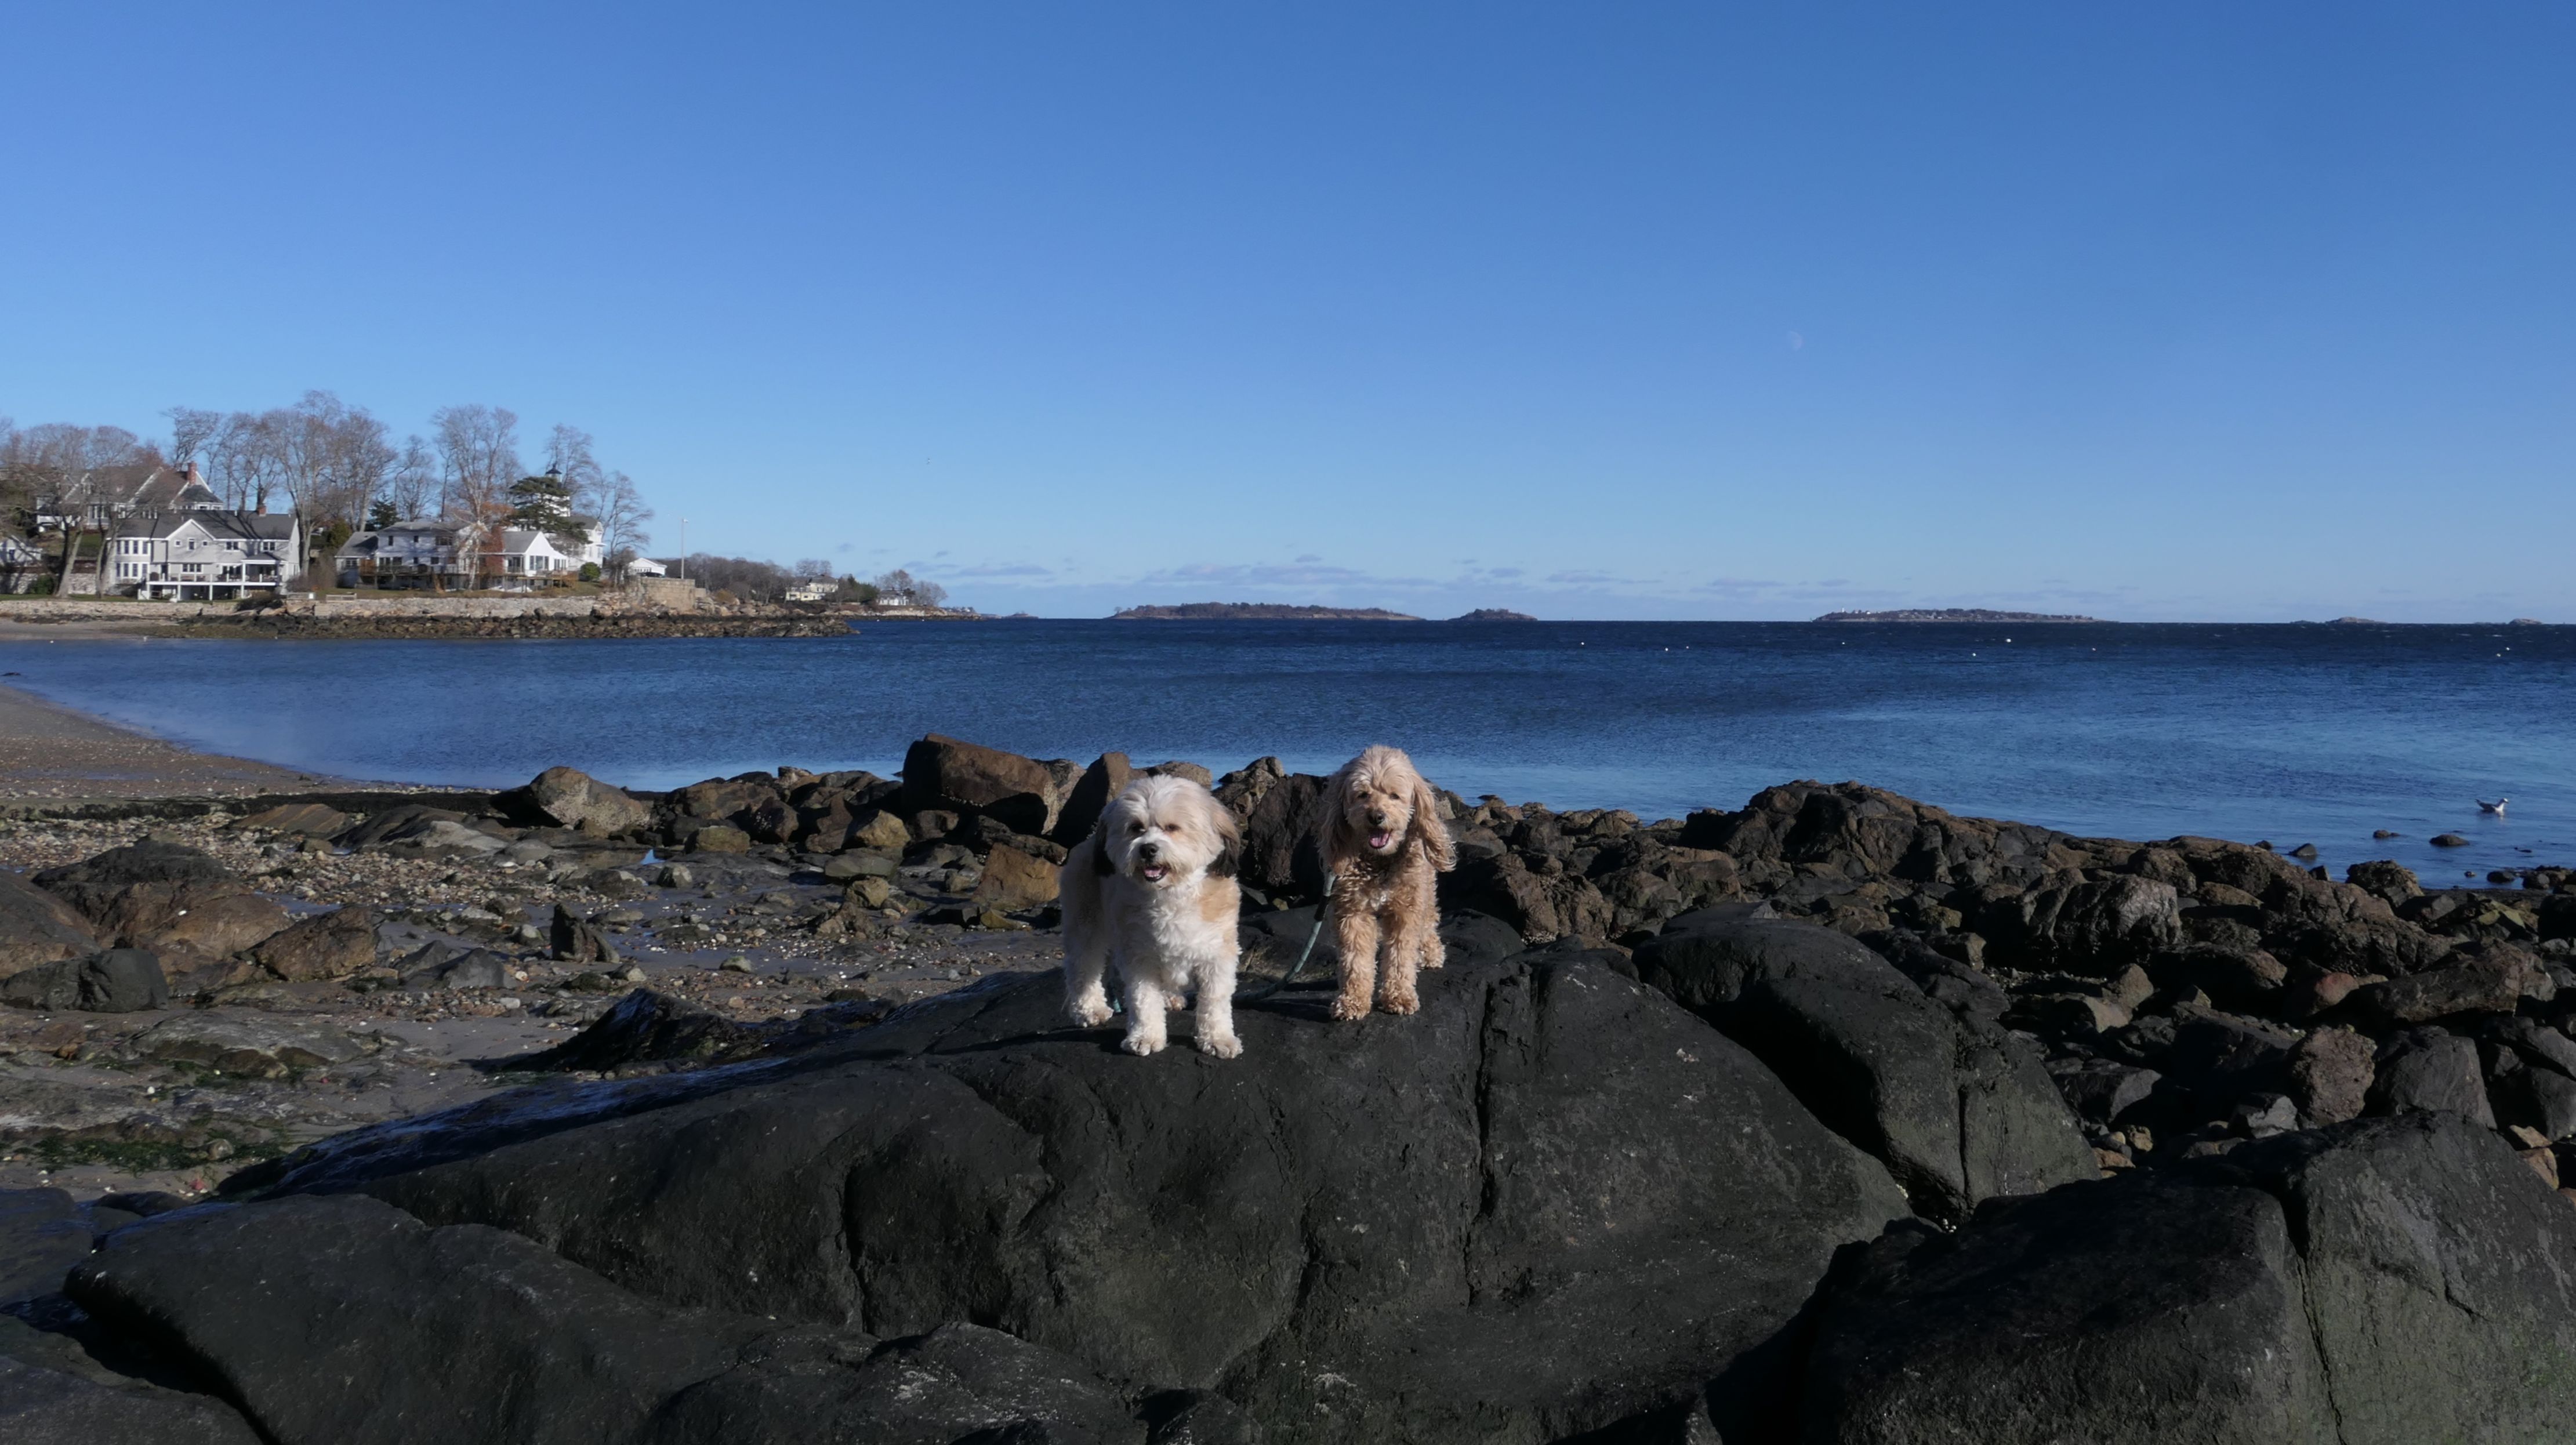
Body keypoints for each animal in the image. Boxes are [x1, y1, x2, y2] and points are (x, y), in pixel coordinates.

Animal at [1060, 773, 1245, 1057]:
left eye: (1172, 828)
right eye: (1136, 828)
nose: (1147, 849)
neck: (1171, 894)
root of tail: (1091, 840)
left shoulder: (1218, 955)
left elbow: (1215, 1000)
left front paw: (1218, 1038)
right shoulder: (1139, 956)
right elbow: (1143, 999)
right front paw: (1145, 1036)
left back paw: (1169, 996)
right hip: (1085, 921)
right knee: (1083, 965)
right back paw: (1089, 1009)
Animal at [1318, 745, 1456, 1020]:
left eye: (1394, 796)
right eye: (1362, 795)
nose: (1376, 816)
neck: (1380, 862)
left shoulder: (1406, 910)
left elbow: (1400, 956)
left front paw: (1399, 996)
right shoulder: (1353, 911)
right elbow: (1355, 959)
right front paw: (1352, 1001)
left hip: (1424, 889)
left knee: (1429, 921)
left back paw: (1432, 953)